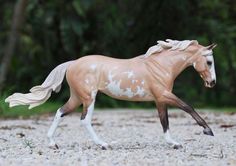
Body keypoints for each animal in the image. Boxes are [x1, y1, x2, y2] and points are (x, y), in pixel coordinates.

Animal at [4, 39, 217, 149]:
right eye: (209, 62)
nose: (212, 83)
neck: (160, 65)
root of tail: (72, 63)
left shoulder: (159, 99)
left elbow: (164, 121)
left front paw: (173, 143)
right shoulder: (164, 95)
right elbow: (187, 107)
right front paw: (208, 131)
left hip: (77, 97)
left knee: (60, 112)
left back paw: (52, 143)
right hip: (88, 97)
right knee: (84, 120)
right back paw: (103, 144)